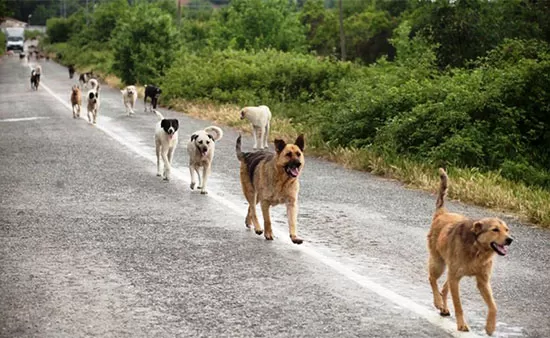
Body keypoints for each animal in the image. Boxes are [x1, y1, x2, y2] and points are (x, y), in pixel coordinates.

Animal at [430, 168, 516, 336]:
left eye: (507, 229)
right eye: (495, 229)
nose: (510, 239)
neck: (478, 250)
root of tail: (442, 213)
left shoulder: (483, 281)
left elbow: (494, 306)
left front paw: (490, 327)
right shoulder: (455, 278)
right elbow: (459, 305)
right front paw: (461, 324)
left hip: (450, 272)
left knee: (444, 287)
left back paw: (443, 308)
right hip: (439, 264)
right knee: (432, 280)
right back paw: (437, 302)